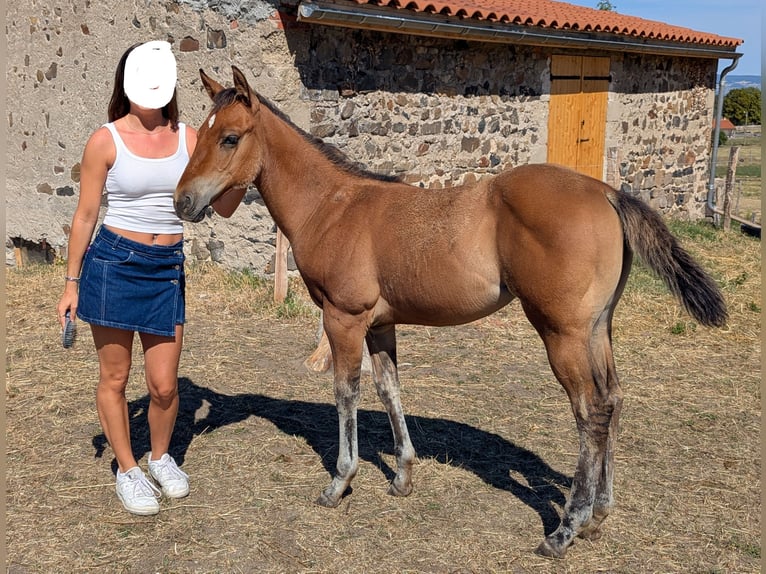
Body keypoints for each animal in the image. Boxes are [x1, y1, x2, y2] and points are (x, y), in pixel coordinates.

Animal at [175, 66, 727, 558]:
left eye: (229, 138)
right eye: (199, 131)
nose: (183, 201)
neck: (332, 206)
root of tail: (609, 192)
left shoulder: (344, 318)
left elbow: (346, 393)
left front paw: (340, 482)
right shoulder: (381, 323)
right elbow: (389, 388)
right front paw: (402, 476)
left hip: (562, 332)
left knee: (590, 411)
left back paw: (566, 529)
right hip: (597, 329)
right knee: (612, 399)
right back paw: (599, 515)